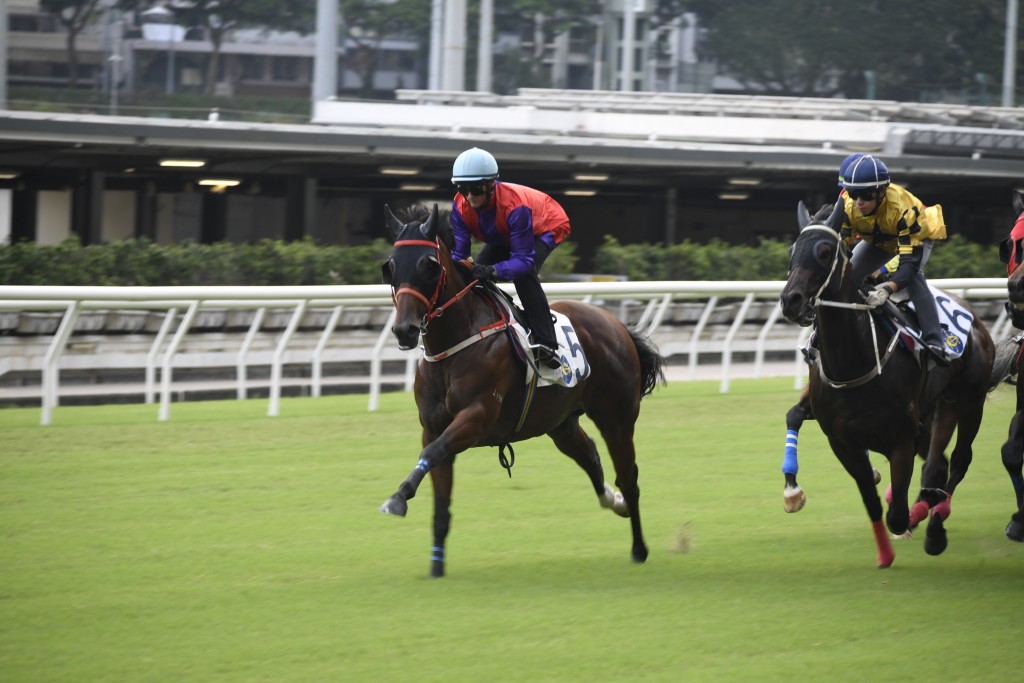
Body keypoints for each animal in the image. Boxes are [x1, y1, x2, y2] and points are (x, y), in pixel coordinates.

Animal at [376, 202, 663, 577]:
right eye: (391, 266)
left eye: (428, 265)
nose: (404, 330)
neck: (453, 345)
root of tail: (617, 325)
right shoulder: (434, 426)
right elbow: (439, 491)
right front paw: (436, 566)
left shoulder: (477, 417)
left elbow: (432, 452)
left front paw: (398, 497)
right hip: (561, 423)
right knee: (590, 456)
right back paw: (615, 502)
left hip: (616, 418)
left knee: (628, 476)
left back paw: (639, 547)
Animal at [778, 200, 1011, 569]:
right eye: (792, 250)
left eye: (825, 251)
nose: (792, 300)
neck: (854, 359)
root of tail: (975, 319)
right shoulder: (841, 441)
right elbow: (872, 501)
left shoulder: (901, 439)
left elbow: (897, 515)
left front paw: (914, 518)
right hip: (941, 406)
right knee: (938, 462)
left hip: (970, 401)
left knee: (959, 460)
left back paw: (934, 525)